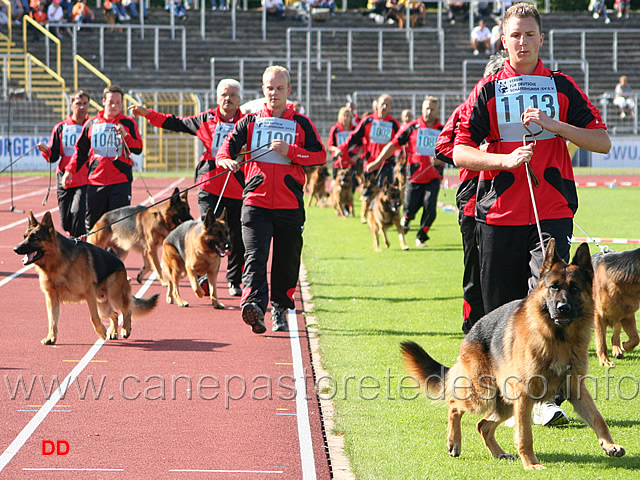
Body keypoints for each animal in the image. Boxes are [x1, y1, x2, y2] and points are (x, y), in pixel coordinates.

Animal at [14, 212, 159, 344]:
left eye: (34, 238)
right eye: (24, 237)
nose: (15, 249)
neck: (57, 261)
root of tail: (121, 264)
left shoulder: (89, 293)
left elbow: (93, 317)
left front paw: (101, 332)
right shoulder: (51, 298)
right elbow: (52, 320)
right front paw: (51, 337)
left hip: (114, 296)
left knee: (126, 311)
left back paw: (125, 329)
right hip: (102, 304)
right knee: (115, 314)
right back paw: (113, 332)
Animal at [400, 240, 624, 468]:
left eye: (575, 288)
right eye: (554, 287)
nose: (563, 308)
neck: (557, 339)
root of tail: (472, 331)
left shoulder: (576, 388)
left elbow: (597, 418)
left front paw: (609, 445)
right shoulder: (524, 394)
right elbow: (525, 434)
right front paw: (531, 464)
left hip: (504, 401)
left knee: (483, 425)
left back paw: (499, 453)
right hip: (482, 394)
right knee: (455, 405)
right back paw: (454, 442)